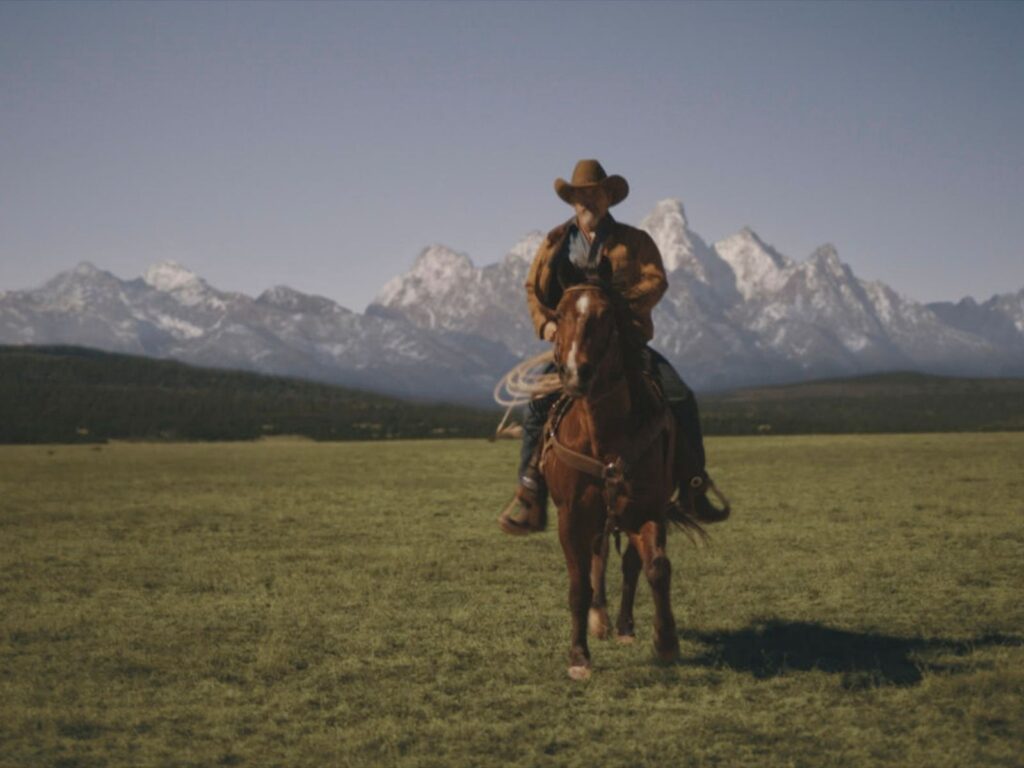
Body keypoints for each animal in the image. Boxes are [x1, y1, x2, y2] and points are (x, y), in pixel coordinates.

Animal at [540, 280, 700, 679]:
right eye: (559, 314)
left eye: (606, 315)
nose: (574, 373)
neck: (603, 438)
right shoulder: (571, 517)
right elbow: (579, 585)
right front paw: (578, 656)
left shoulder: (648, 509)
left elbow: (656, 567)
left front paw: (666, 641)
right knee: (599, 561)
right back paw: (600, 620)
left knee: (629, 566)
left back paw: (624, 626)